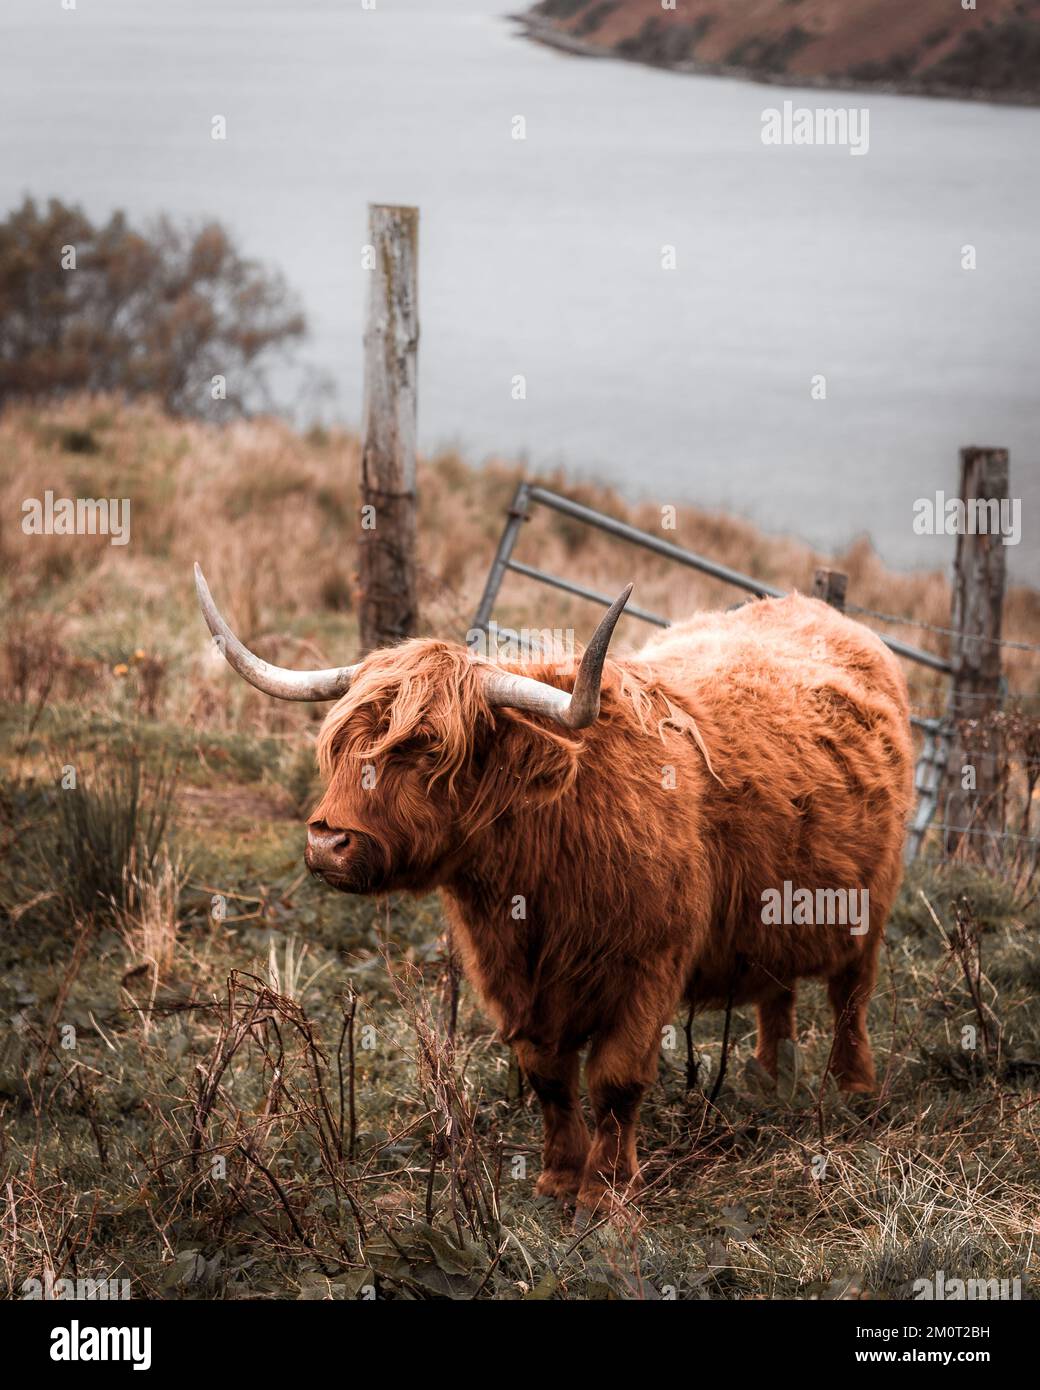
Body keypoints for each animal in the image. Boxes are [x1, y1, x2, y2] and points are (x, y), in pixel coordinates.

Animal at [194, 563, 913, 1214]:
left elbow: (615, 1080)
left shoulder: (649, 968)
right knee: (777, 991)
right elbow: (548, 1077)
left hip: (870, 908)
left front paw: (606, 1192)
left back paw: (852, 1089)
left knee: (851, 996)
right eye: (340, 742)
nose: (327, 842)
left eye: (427, 749)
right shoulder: (508, 977)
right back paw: (769, 1078)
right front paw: (559, 1178)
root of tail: (815, 609)